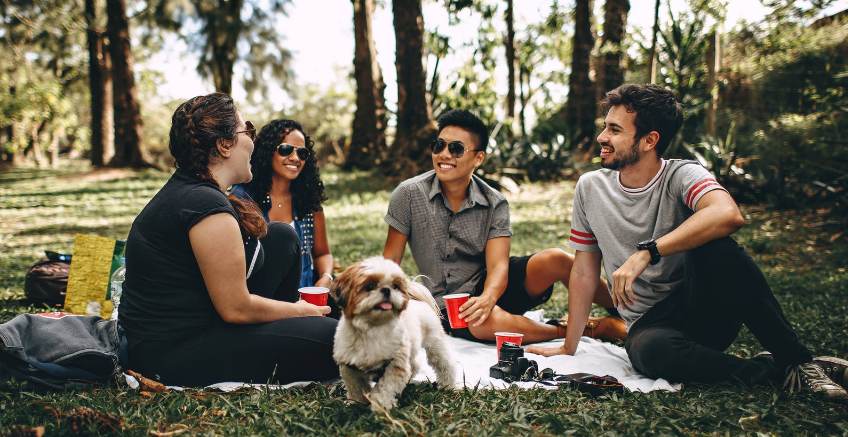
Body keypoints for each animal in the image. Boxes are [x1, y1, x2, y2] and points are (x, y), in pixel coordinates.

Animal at [330, 255, 458, 408]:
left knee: (445, 364)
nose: (386, 290)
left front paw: (381, 407)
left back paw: (448, 386)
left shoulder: (395, 365)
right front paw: (355, 404)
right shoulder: (350, 368)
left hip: (435, 344)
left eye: (395, 286)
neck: (372, 329)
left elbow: (385, 389)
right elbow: (356, 388)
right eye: (369, 286)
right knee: (414, 365)